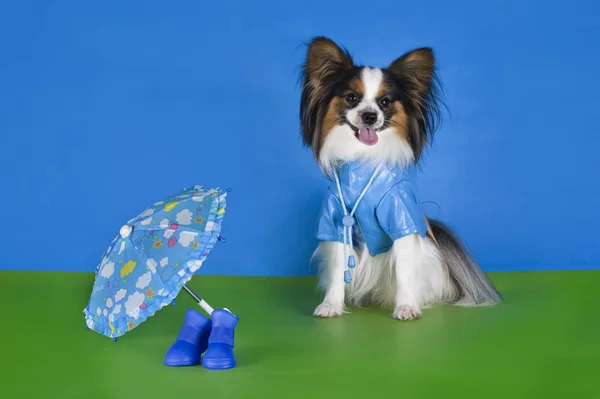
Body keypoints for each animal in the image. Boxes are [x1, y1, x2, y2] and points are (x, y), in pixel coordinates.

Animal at [298, 36, 500, 320]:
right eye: (352, 98)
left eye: (385, 102)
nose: (370, 116)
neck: (363, 162)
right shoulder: (336, 221)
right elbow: (339, 268)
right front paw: (331, 305)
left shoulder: (401, 219)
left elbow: (404, 268)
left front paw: (406, 307)